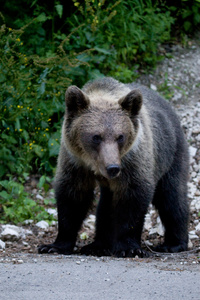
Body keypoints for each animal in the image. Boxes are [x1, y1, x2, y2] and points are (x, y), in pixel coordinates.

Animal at [38, 77, 189, 258]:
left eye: (120, 136)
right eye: (96, 137)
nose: (113, 168)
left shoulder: (133, 161)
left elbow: (133, 199)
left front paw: (129, 248)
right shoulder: (75, 162)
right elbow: (72, 197)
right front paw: (54, 246)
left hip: (171, 154)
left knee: (171, 197)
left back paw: (173, 244)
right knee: (106, 205)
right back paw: (98, 246)